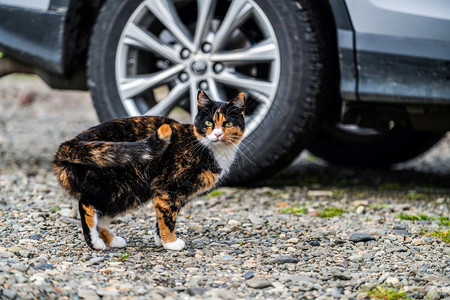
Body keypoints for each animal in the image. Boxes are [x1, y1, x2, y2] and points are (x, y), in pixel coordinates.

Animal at [53, 91, 246, 251]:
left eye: (228, 123)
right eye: (208, 122)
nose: (218, 134)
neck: (205, 147)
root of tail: (71, 143)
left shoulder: (171, 196)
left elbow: (163, 217)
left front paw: (161, 240)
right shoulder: (167, 189)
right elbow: (167, 219)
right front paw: (171, 243)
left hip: (126, 192)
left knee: (101, 216)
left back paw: (113, 240)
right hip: (121, 186)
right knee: (86, 205)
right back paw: (96, 243)